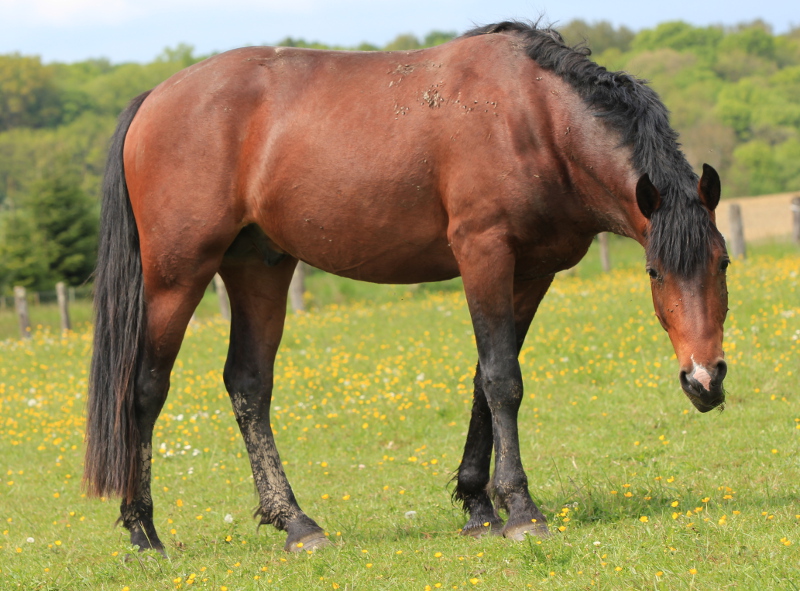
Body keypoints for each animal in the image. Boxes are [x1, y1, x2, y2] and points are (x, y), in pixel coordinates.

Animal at [83, 21, 729, 554]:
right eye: (655, 272)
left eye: (722, 264)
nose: (704, 380)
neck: (534, 117)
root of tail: (153, 99)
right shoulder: (483, 253)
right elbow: (503, 380)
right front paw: (520, 511)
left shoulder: (531, 272)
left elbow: (484, 381)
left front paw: (477, 505)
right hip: (177, 276)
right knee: (144, 391)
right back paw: (143, 531)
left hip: (259, 267)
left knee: (248, 387)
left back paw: (297, 524)